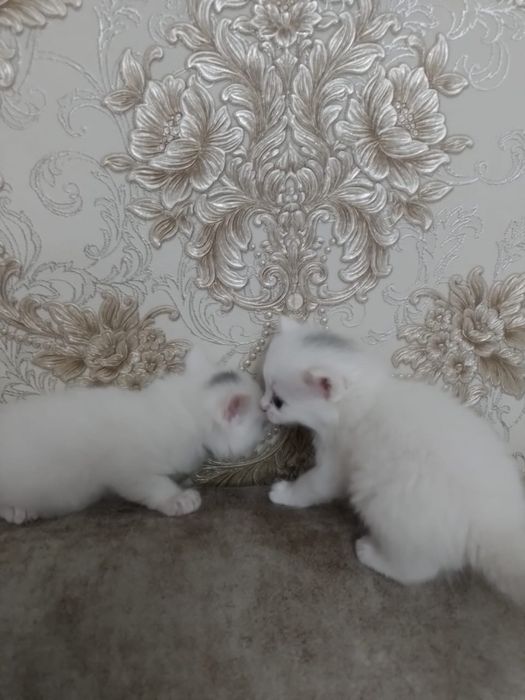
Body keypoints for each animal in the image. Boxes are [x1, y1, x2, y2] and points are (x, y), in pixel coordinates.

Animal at [0, 348, 264, 524]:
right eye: (261, 421)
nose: (266, 434)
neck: (186, 410)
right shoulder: (127, 468)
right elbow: (151, 484)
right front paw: (176, 498)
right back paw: (16, 510)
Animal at [261, 317, 525, 605]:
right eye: (264, 388)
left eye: (279, 401)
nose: (262, 406)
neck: (366, 401)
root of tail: (491, 523)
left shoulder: (336, 460)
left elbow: (312, 486)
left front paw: (284, 493)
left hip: (387, 504)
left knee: (417, 570)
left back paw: (372, 554)